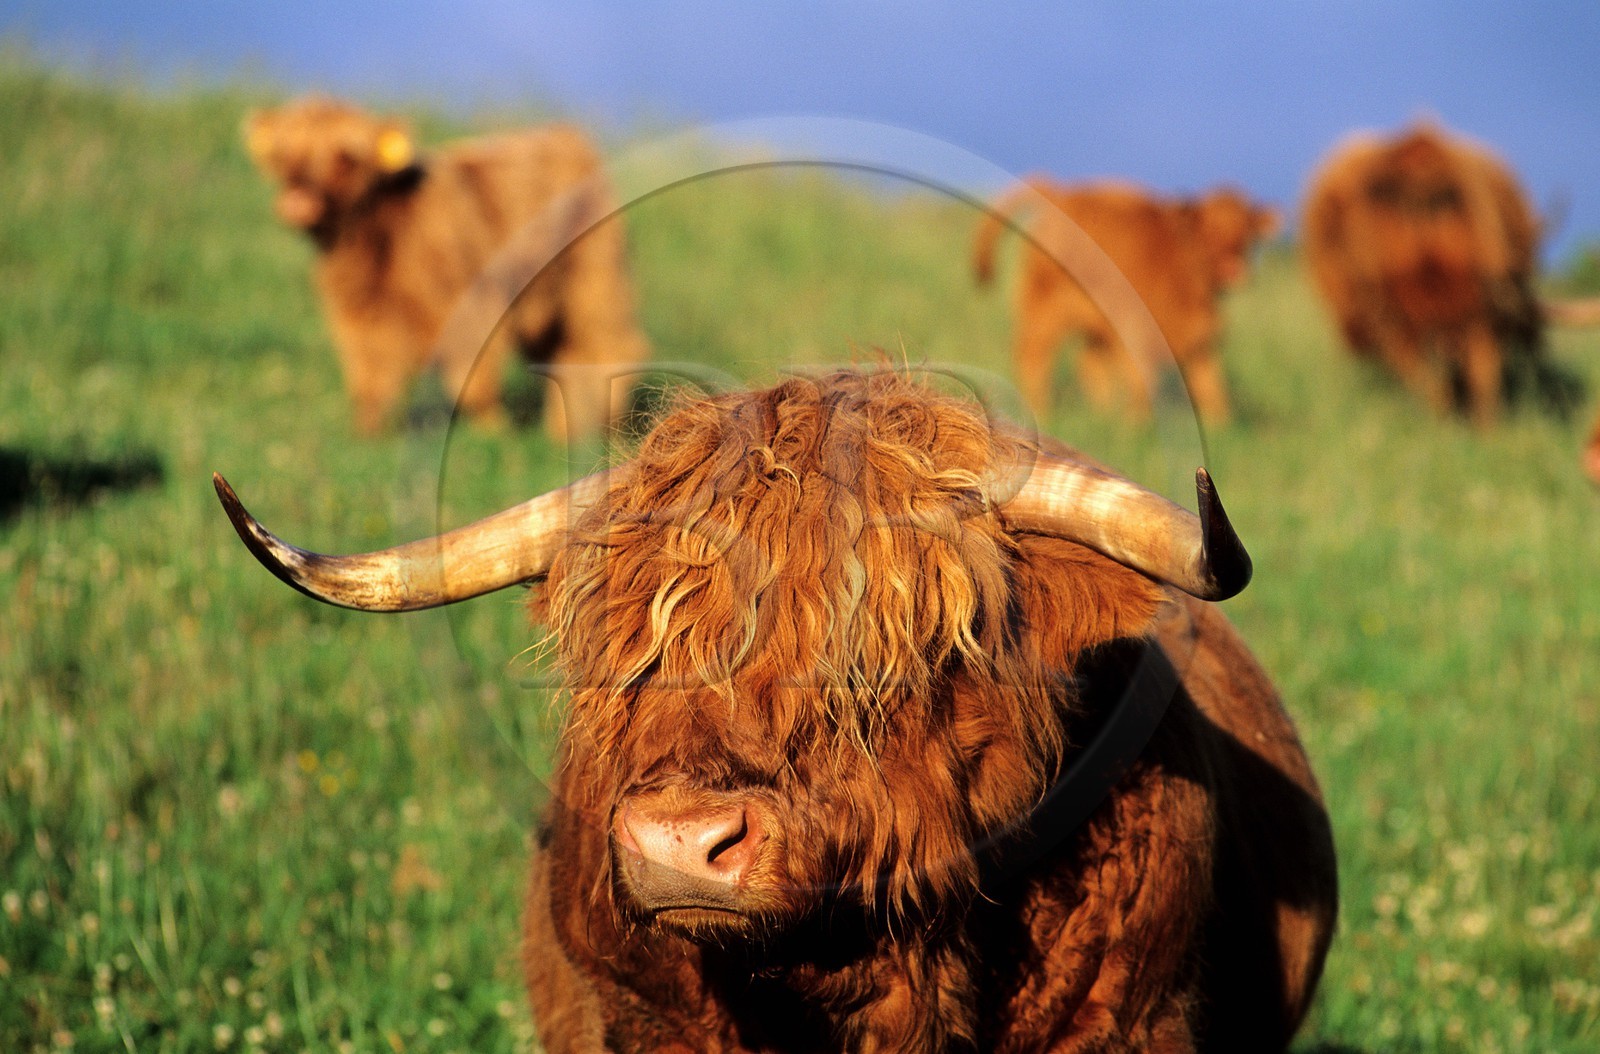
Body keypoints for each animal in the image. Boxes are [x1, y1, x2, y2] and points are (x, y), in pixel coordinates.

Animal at [245, 96, 650, 438]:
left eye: (346, 155)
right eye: (283, 153)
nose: (298, 199)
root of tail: (565, 134)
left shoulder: (473, 307)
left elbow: (473, 381)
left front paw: (493, 431)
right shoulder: (360, 316)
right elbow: (370, 378)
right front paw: (369, 434)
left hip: (594, 280)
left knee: (606, 345)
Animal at [974, 178, 1280, 426]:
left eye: (1247, 231)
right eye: (1209, 228)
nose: (1234, 269)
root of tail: (1062, 193)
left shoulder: (1200, 341)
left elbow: (1212, 388)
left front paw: (1221, 429)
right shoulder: (1137, 334)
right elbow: (1142, 383)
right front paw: (1135, 429)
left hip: (1095, 325)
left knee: (1088, 364)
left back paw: (1102, 414)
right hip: (1046, 312)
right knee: (1034, 355)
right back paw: (1041, 411)